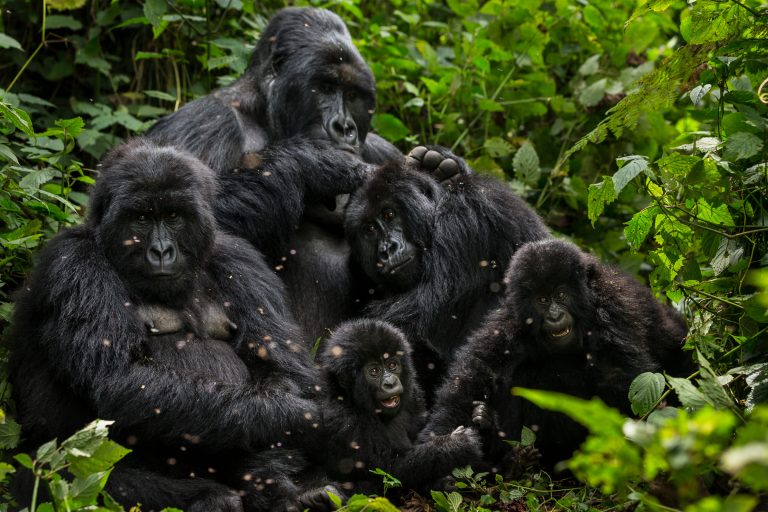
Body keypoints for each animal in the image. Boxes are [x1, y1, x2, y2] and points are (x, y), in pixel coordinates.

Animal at [9, 140, 332, 512]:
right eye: (141, 218)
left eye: (174, 217)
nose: (161, 251)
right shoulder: (73, 266)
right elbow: (118, 379)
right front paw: (287, 414)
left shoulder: (242, 260)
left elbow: (284, 369)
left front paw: (273, 475)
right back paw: (213, 498)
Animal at [147, 7, 404, 340]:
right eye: (325, 88)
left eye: (352, 95)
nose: (345, 127)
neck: (263, 112)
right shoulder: (204, 121)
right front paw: (312, 162)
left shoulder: (384, 151)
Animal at [314, 322, 480, 498]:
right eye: (374, 371)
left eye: (392, 365)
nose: (390, 383)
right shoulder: (346, 419)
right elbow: (388, 473)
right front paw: (455, 446)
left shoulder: (413, 393)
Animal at [424, 238, 692, 470]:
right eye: (542, 300)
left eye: (562, 295)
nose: (555, 316)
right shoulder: (510, 323)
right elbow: (474, 375)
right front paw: (444, 451)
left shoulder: (611, 308)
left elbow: (622, 381)